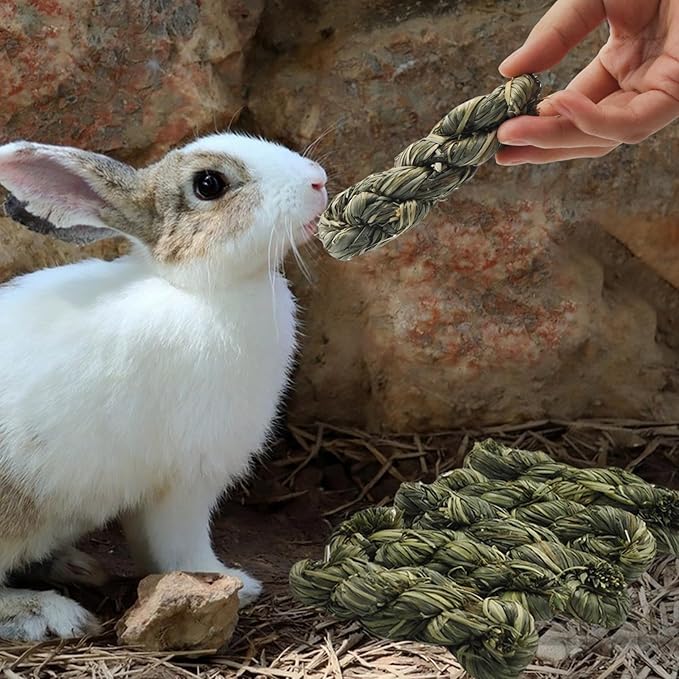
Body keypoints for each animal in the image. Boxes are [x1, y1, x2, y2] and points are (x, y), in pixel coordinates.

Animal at [0, 133, 328, 641]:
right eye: (209, 184)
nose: (318, 181)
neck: (201, 291)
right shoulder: (190, 476)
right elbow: (181, 545)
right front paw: (231, 581)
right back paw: (46, 611)